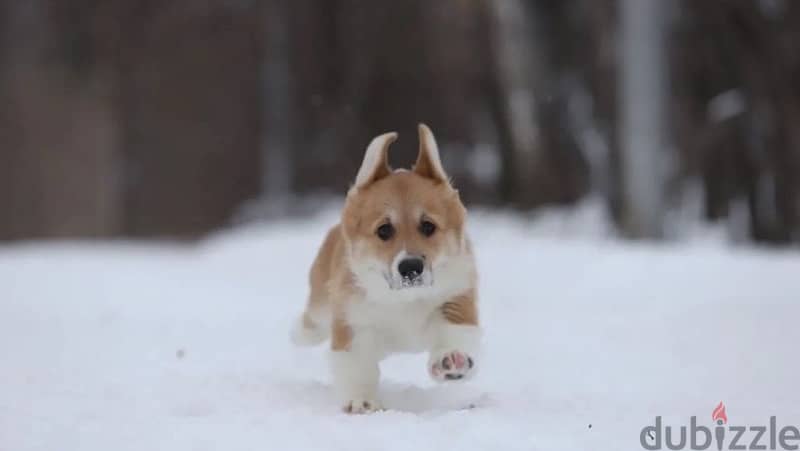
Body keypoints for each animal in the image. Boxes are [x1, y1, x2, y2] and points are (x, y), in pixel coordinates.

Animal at [292, 125, 482, 414]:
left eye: (428, 226)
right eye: (384, 230)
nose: (411, 267)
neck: (404, 300)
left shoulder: (456, 299)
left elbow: (455, 333)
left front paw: (452, 360)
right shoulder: (354, 322)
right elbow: (357, 365)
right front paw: (361, 400)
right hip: (321, 302)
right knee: (313, 321)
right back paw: (300, 333)